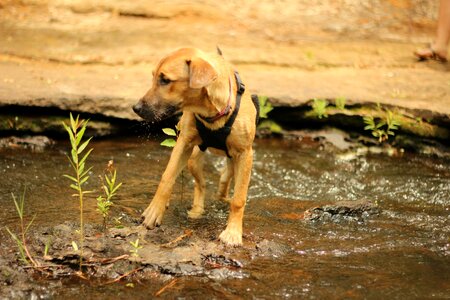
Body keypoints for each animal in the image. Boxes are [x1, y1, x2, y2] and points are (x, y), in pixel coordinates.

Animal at [132, 47, 258, 246]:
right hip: (193, 159)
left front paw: (233, 233)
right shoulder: (184, 143)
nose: (136, 108)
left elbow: (239, 199)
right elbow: (167, 177)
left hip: (236, 160)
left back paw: (223, 196)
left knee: (226, 178)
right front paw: (154, 211)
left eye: (165, 80)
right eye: (153, 76)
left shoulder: (245, 154)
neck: (213, 112)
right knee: (201, 185)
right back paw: (197, 210)